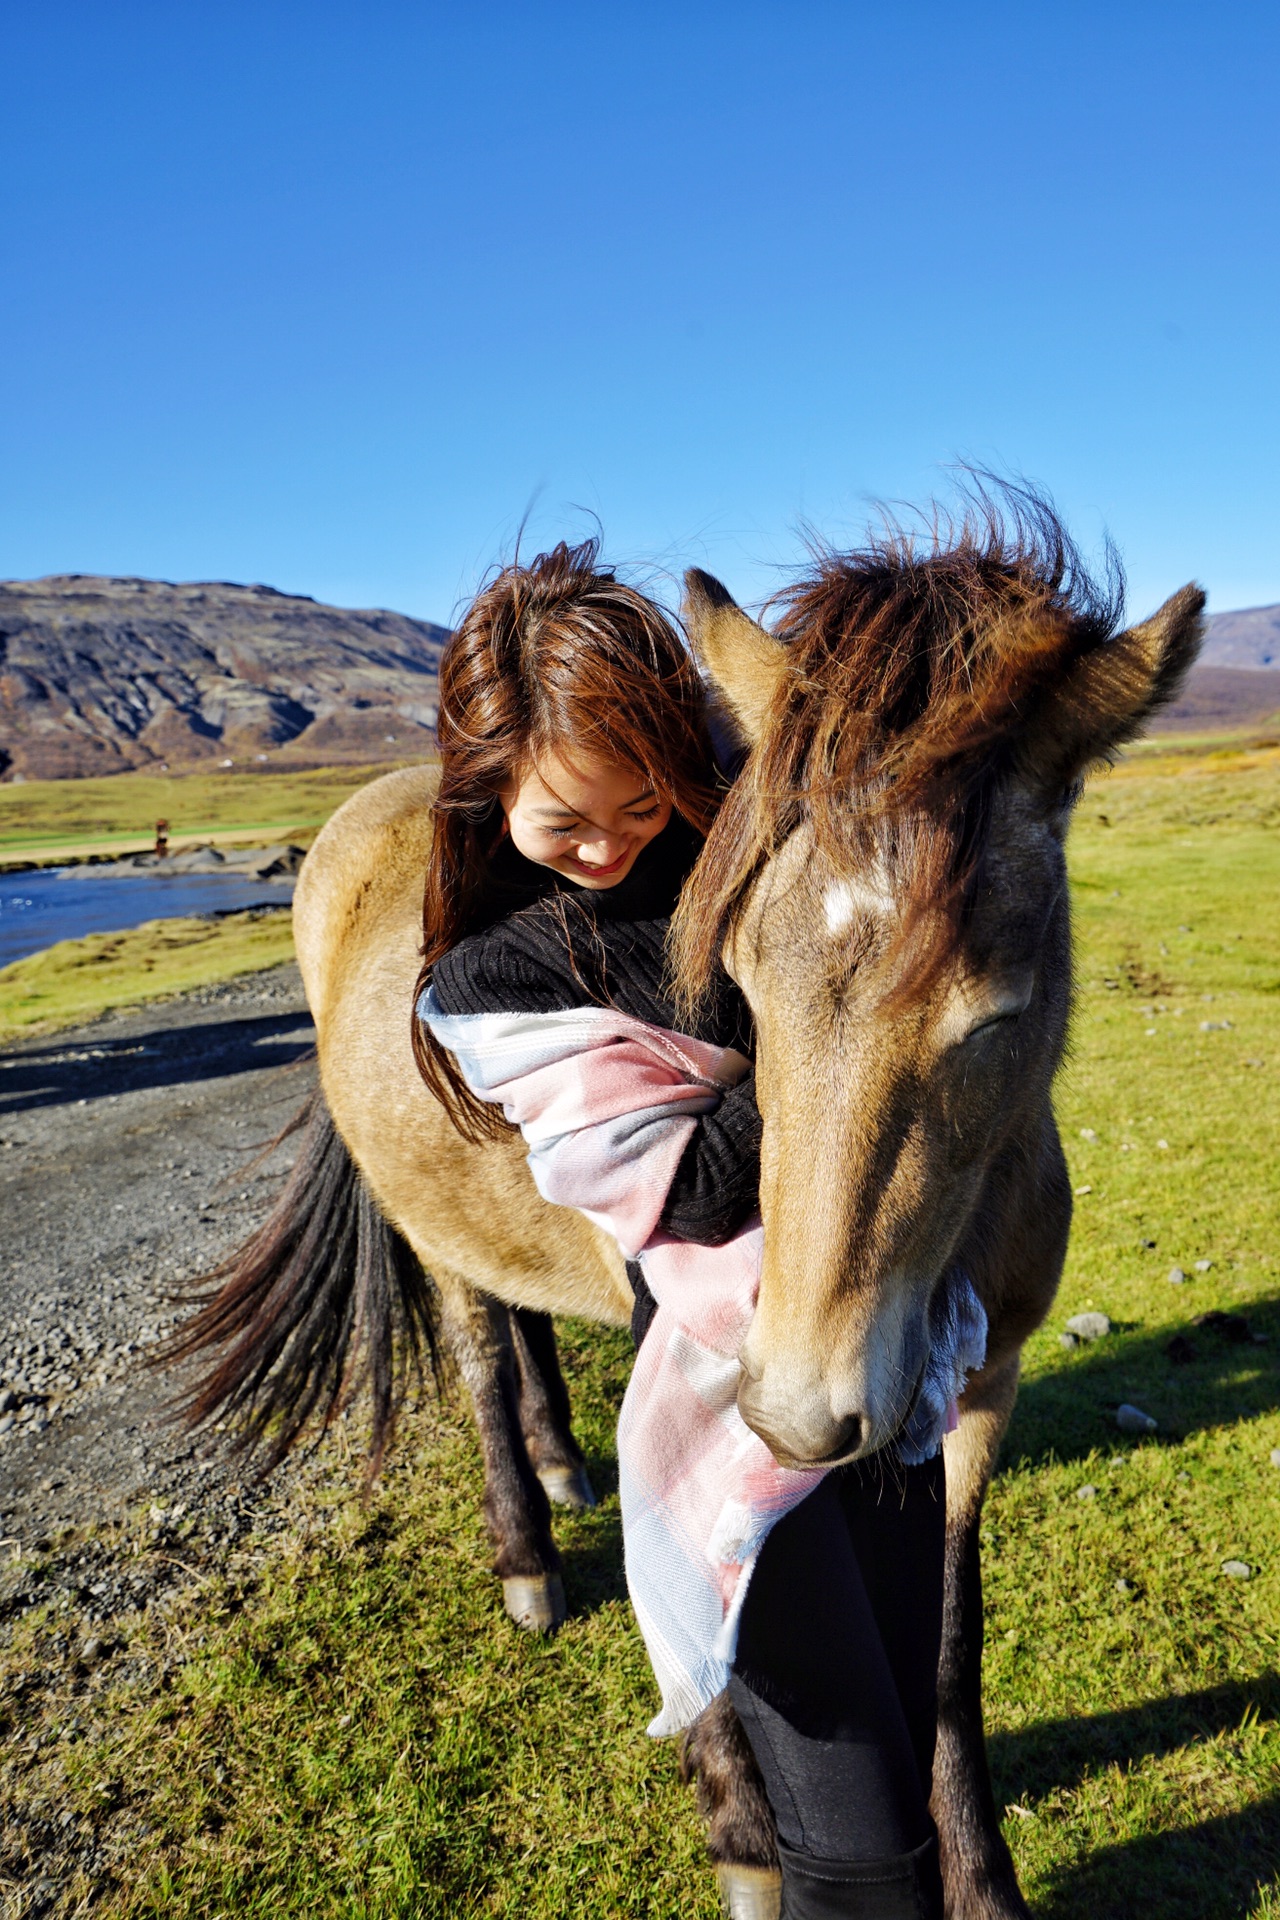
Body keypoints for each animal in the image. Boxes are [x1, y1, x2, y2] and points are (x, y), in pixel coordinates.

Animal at [175, 495, 1205, 1920]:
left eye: (995, 1012)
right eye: (745, 981)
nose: (799, 1412)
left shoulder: (982, 1386)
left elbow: (949, 1645)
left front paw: (980, 1876)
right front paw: (742, 1838)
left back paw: (561, 1460)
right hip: (433, 1226)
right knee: (480, 1349)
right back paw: (528, 1556)